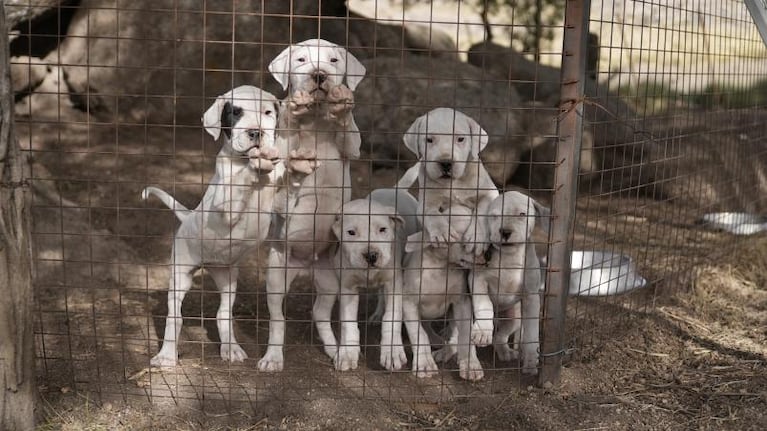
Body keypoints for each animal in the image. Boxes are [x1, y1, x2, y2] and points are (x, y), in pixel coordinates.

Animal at [141, 85, 312, 368]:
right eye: (236, 112)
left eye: (268, 112)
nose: (256, 132)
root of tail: (188, 217)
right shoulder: (226, 203)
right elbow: (241, 179)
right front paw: (255, 164)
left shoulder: (281, 206)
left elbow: (287, 186)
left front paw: (298, 169)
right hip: (181, 273)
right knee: (174, 316)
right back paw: (166, 355)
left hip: (228, 276)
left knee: (223, 314)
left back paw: (231, 349)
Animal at [258, 38, 366, 372]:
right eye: (301, 60)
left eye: (333, 61)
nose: (319, 75)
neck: (317, 118)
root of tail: (307, 265)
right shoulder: (279, 159)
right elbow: (285, 163)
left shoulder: (353, 148)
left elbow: (349, 132)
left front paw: (342, 105)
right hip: (277, 273)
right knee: (277, 318)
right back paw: (272, 357)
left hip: (335, 280)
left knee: (327, 314)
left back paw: (339, 351)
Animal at [310, 189, 420, 372]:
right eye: (351, 233)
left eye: (382, 229)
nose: (371, 256)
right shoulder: (347, 288)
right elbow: (348, 323)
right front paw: (347, 353)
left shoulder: (394, 283)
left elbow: (392, 316)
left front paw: (392, 351)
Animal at [464, 191, 548, 376]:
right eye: (494, 216)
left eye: (522, 214)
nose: (505, 231)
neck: (509, 257)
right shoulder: (477, 280)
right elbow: (485, 304)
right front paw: (482, 331)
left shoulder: (531, 297)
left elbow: (532, 332)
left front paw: (531, 360)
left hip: (514, 316)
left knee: (500, 337)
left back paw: (506, 352)